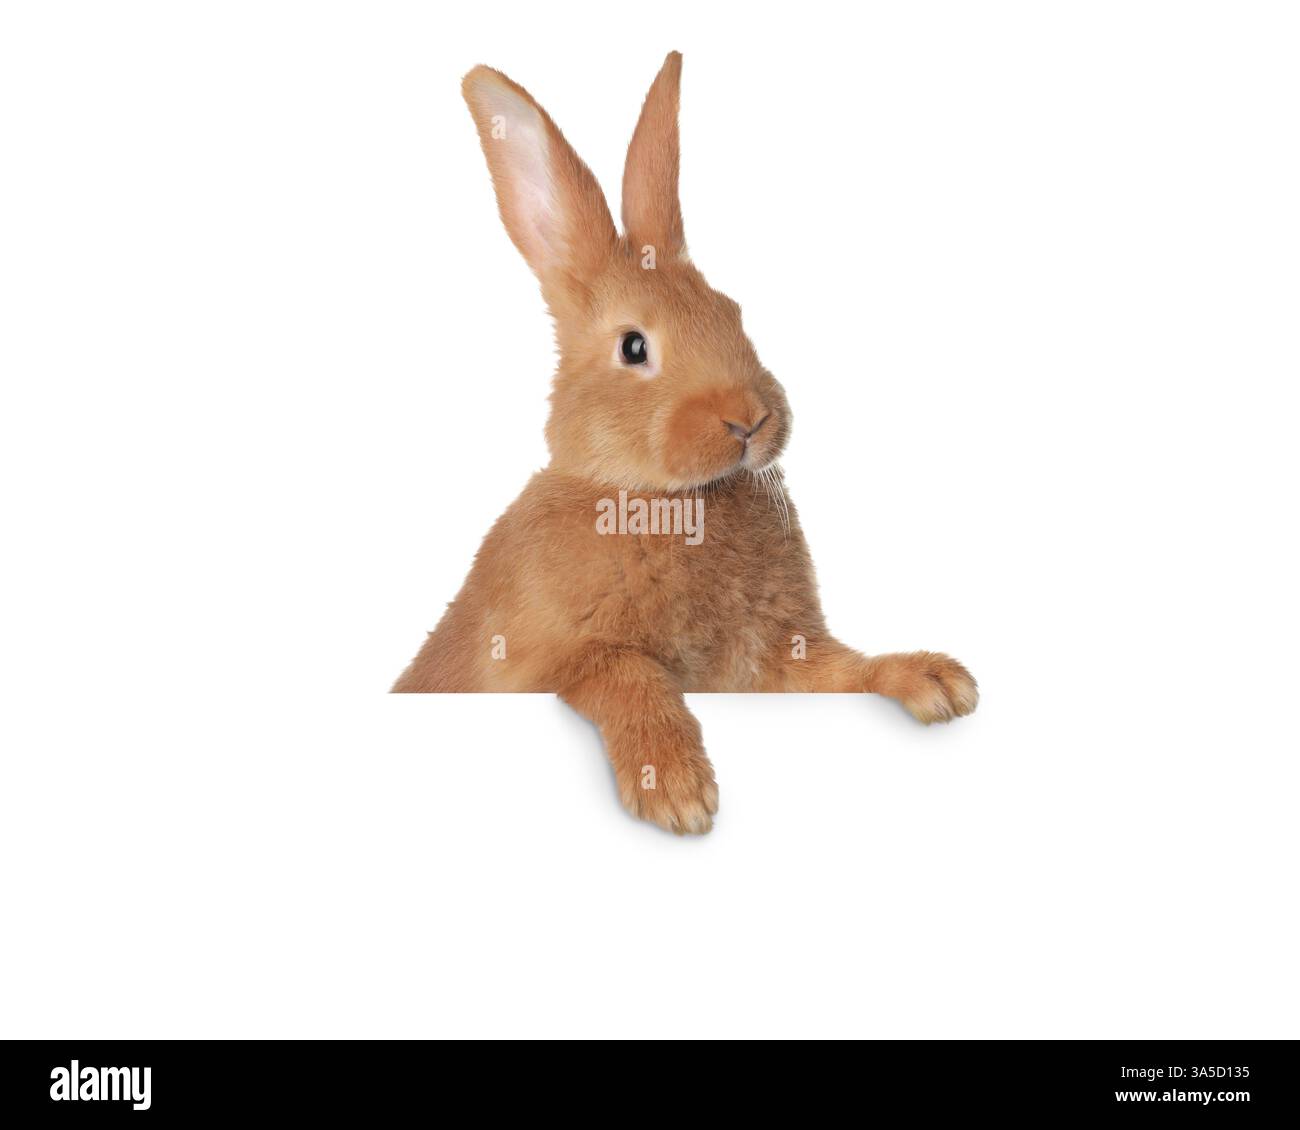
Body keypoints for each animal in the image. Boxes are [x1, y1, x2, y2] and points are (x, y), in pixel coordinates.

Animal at [392, 52, 978, 833]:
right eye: (634, 346)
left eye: (732, 312)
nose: (748, 420)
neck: (662, 498)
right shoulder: (541, 662)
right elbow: (621, 670)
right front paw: (674, 786)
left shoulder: (776, 662)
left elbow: (842, 671)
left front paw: (934, 679)